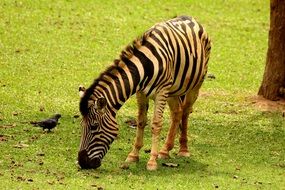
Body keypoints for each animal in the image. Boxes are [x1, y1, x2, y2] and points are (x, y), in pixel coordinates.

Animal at [77, 15, 211, 171]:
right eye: (82, 125)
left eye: (94, 127)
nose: (82, 162)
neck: (145, 66)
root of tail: (189, 17)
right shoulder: (141, 93)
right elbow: (141, 121)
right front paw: (133, 155)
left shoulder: (161, 92)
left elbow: (156, 124)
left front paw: (152, 161)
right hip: (173, 90)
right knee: (177, 113)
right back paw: (165, 150)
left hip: (195, 85)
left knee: (185, 112)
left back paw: (183, 149)